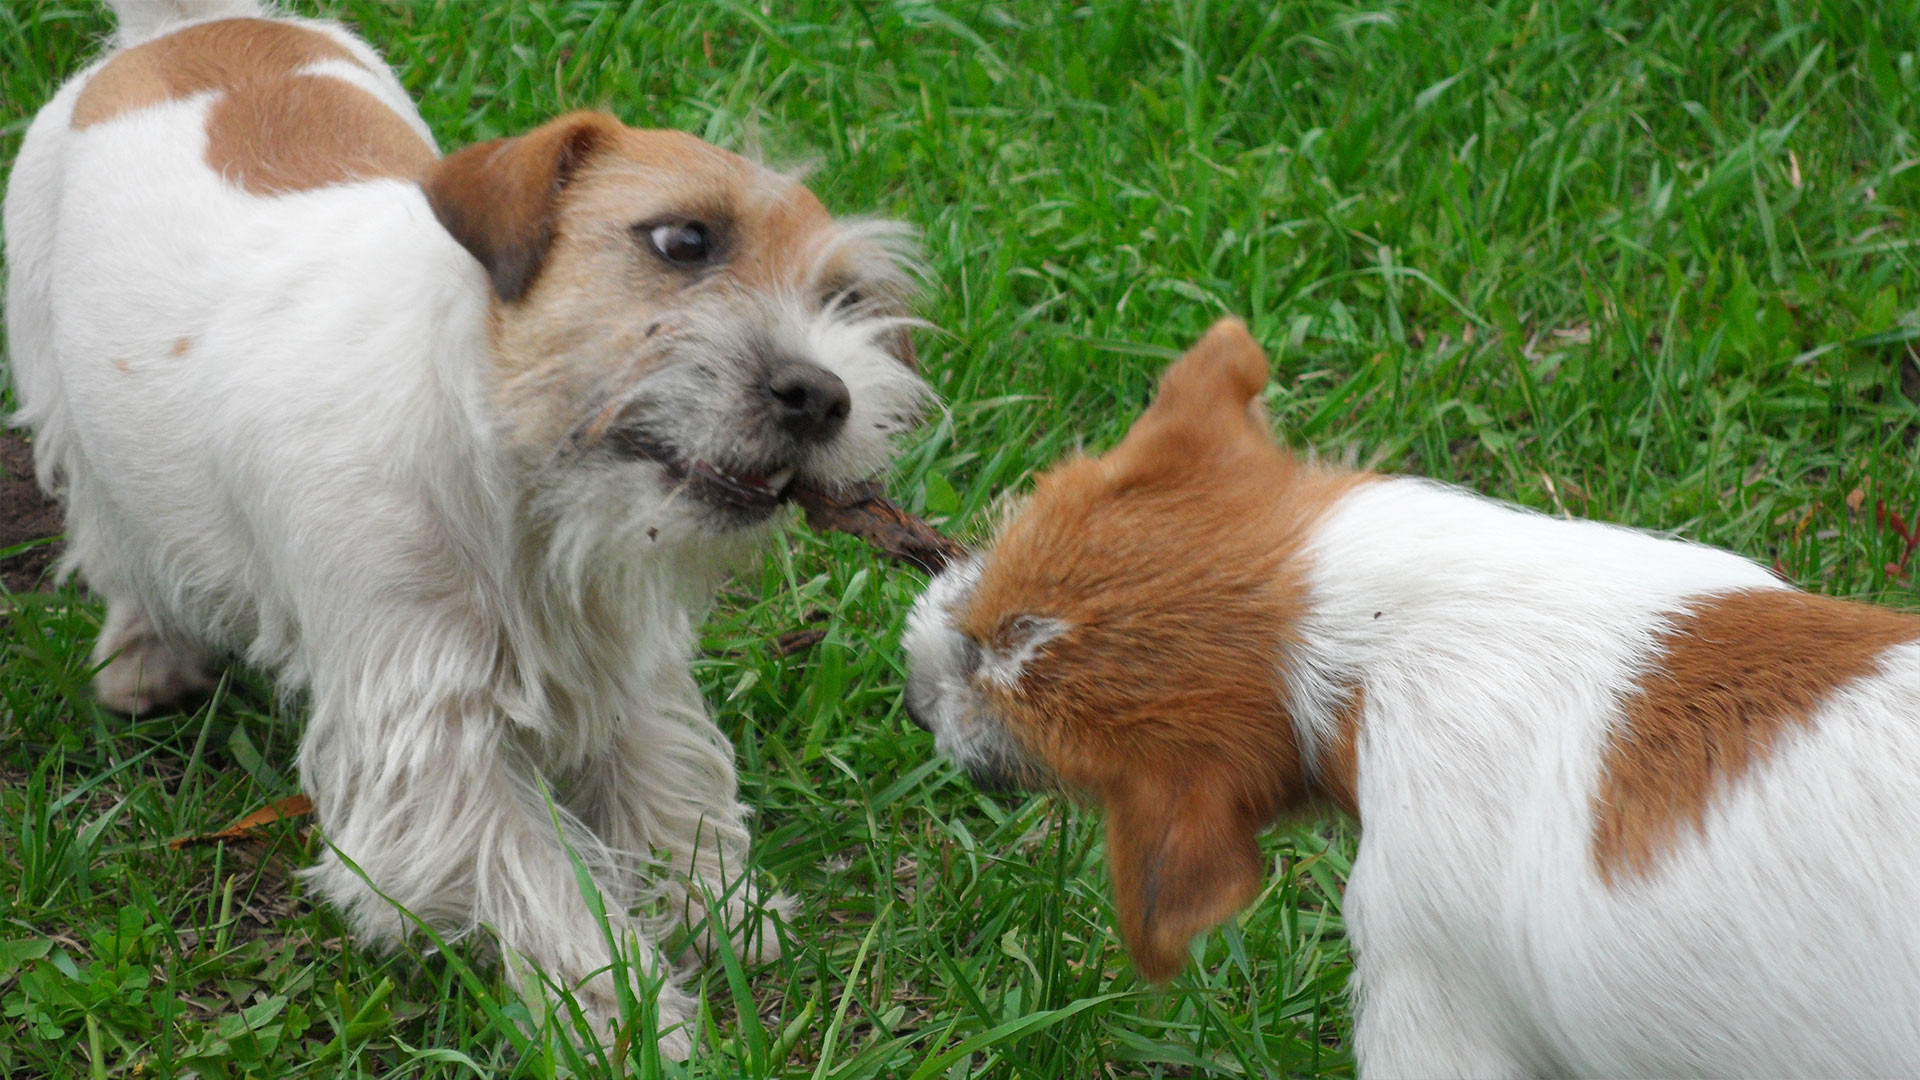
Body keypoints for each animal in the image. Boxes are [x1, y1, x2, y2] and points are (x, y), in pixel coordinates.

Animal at [3, 0, 925, 1053]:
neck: (513, 478)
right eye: (685, 241)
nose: (825, 394)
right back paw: (144, 655)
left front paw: (718, 907)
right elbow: (540, 880)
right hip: (62, 397)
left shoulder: (621, 660)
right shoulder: (429, 746)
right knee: (114, 536)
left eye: (845, 301)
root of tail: (183, 29)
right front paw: (624, 1023)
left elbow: (665, 775)